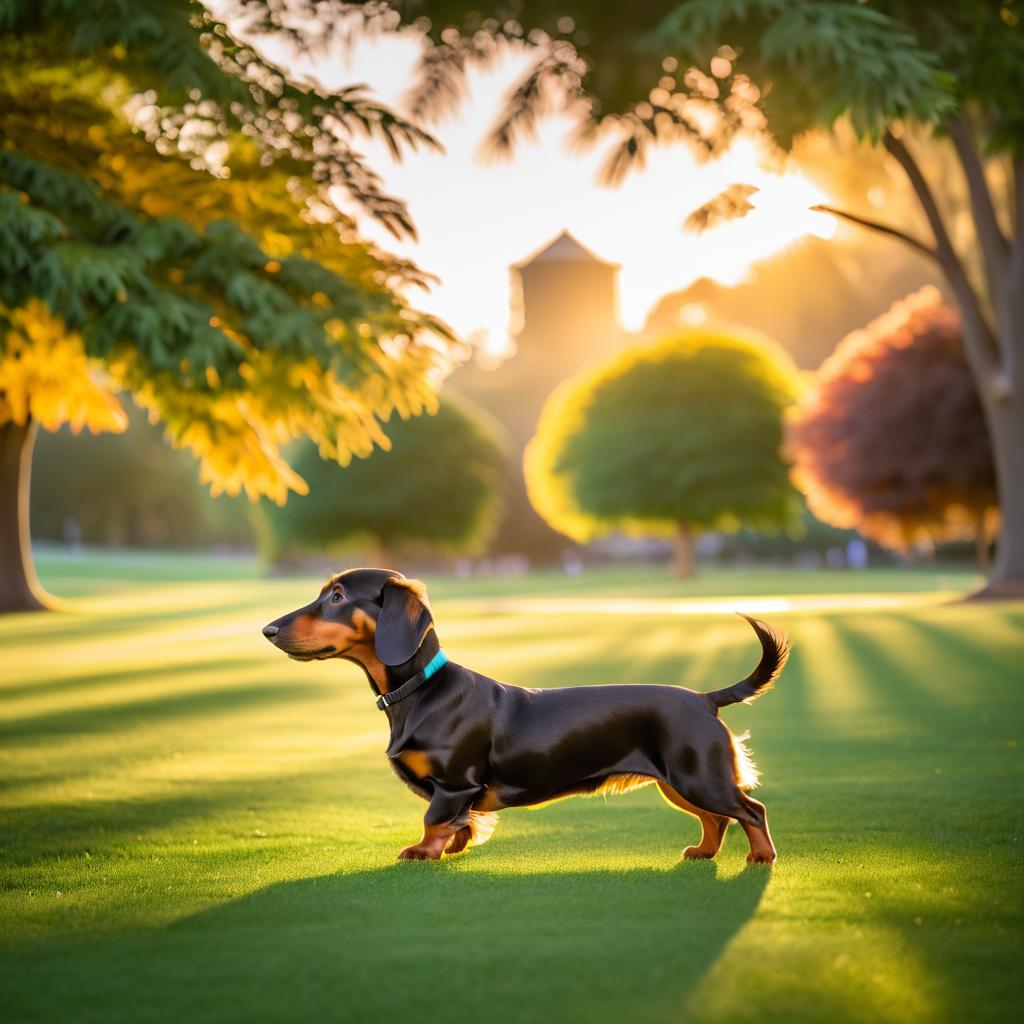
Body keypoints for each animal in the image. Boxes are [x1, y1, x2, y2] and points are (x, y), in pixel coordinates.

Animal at [260, 569, 786, 864]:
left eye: (337, 596)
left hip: (699, 776)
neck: (421, 691)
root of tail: (705, 698)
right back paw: (703, 853)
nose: (268, 630)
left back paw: (761, 857)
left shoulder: (455, 783)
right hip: (678, 782)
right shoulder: (457, 792)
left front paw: (423, 853)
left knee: (750, 810)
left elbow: (433, 819)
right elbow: (458, 824)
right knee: (716, 819)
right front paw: (455, 847)